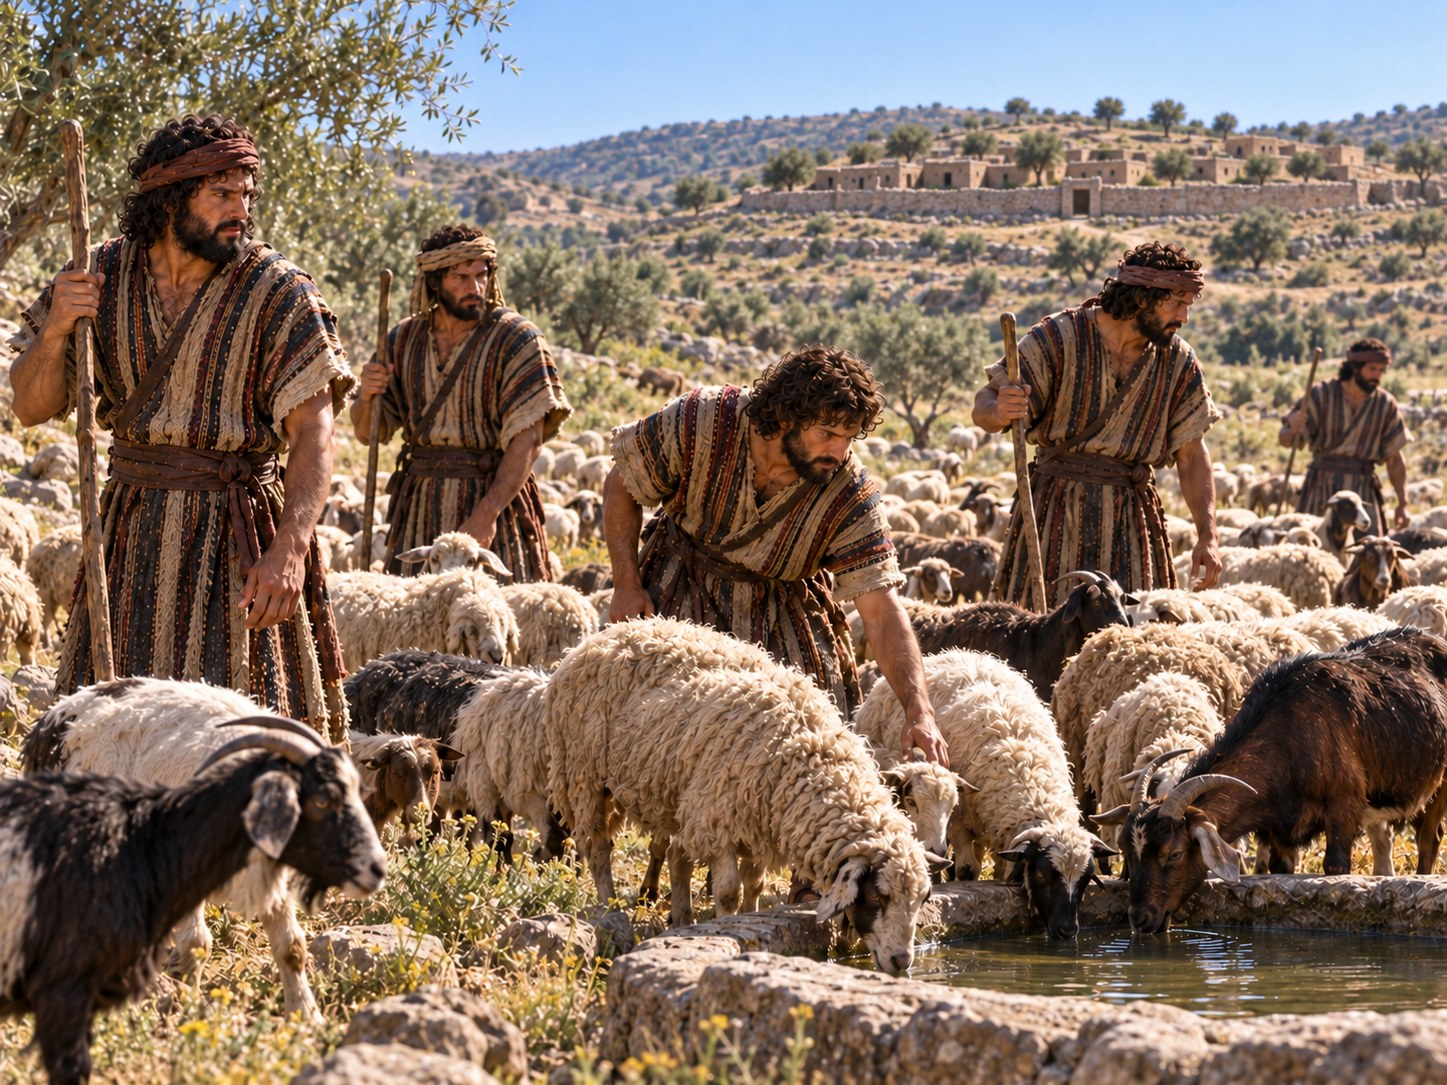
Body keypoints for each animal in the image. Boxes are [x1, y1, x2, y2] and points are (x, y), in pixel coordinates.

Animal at [0, 717, 386, 1085]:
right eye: (322, 801)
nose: (376, 867)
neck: (142, 842)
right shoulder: (63, 988)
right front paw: (190, 1012)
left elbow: (291, 947)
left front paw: (307, 1017)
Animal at [1095, 628, 1447, 934]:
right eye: (1126, 849)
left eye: (1174, 854)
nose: (1140, 919)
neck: (1290, 732)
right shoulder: (1280, 831)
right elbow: (1280, 873)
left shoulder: (1344, 806)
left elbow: (1335, 867)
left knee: (1429, 839)